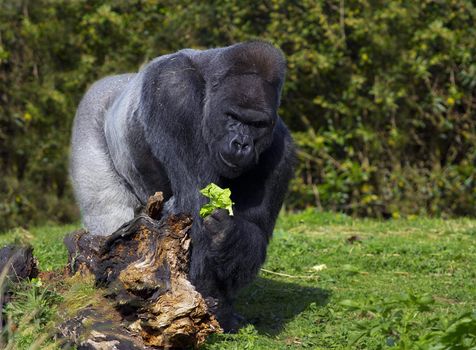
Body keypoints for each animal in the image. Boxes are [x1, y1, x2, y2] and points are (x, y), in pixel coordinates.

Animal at [69, 41, 296, 330]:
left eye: (257, 124)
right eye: (232, 116)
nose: (241, 144)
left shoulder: (281, 149)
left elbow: (253, 229)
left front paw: (228, 237)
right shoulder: (173, 90)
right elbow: (193, 202)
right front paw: (206, 305)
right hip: (90, 116)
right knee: (108, 212)